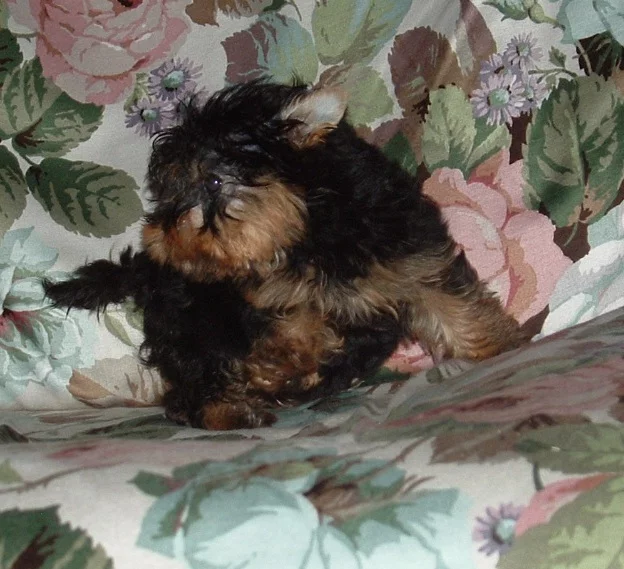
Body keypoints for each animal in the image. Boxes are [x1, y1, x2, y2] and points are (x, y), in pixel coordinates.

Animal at [44, 80, 526, 430]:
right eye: (169, 190)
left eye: (212, 183)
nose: (159, 233)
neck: (308, 237)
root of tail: (147, 272)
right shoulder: (266, 301)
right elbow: (298, 327)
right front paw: (279, 367)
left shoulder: (409, 255)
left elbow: (452, 304)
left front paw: (499, 348)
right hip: (194, 326)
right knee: (193, 382)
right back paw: (230, 410)